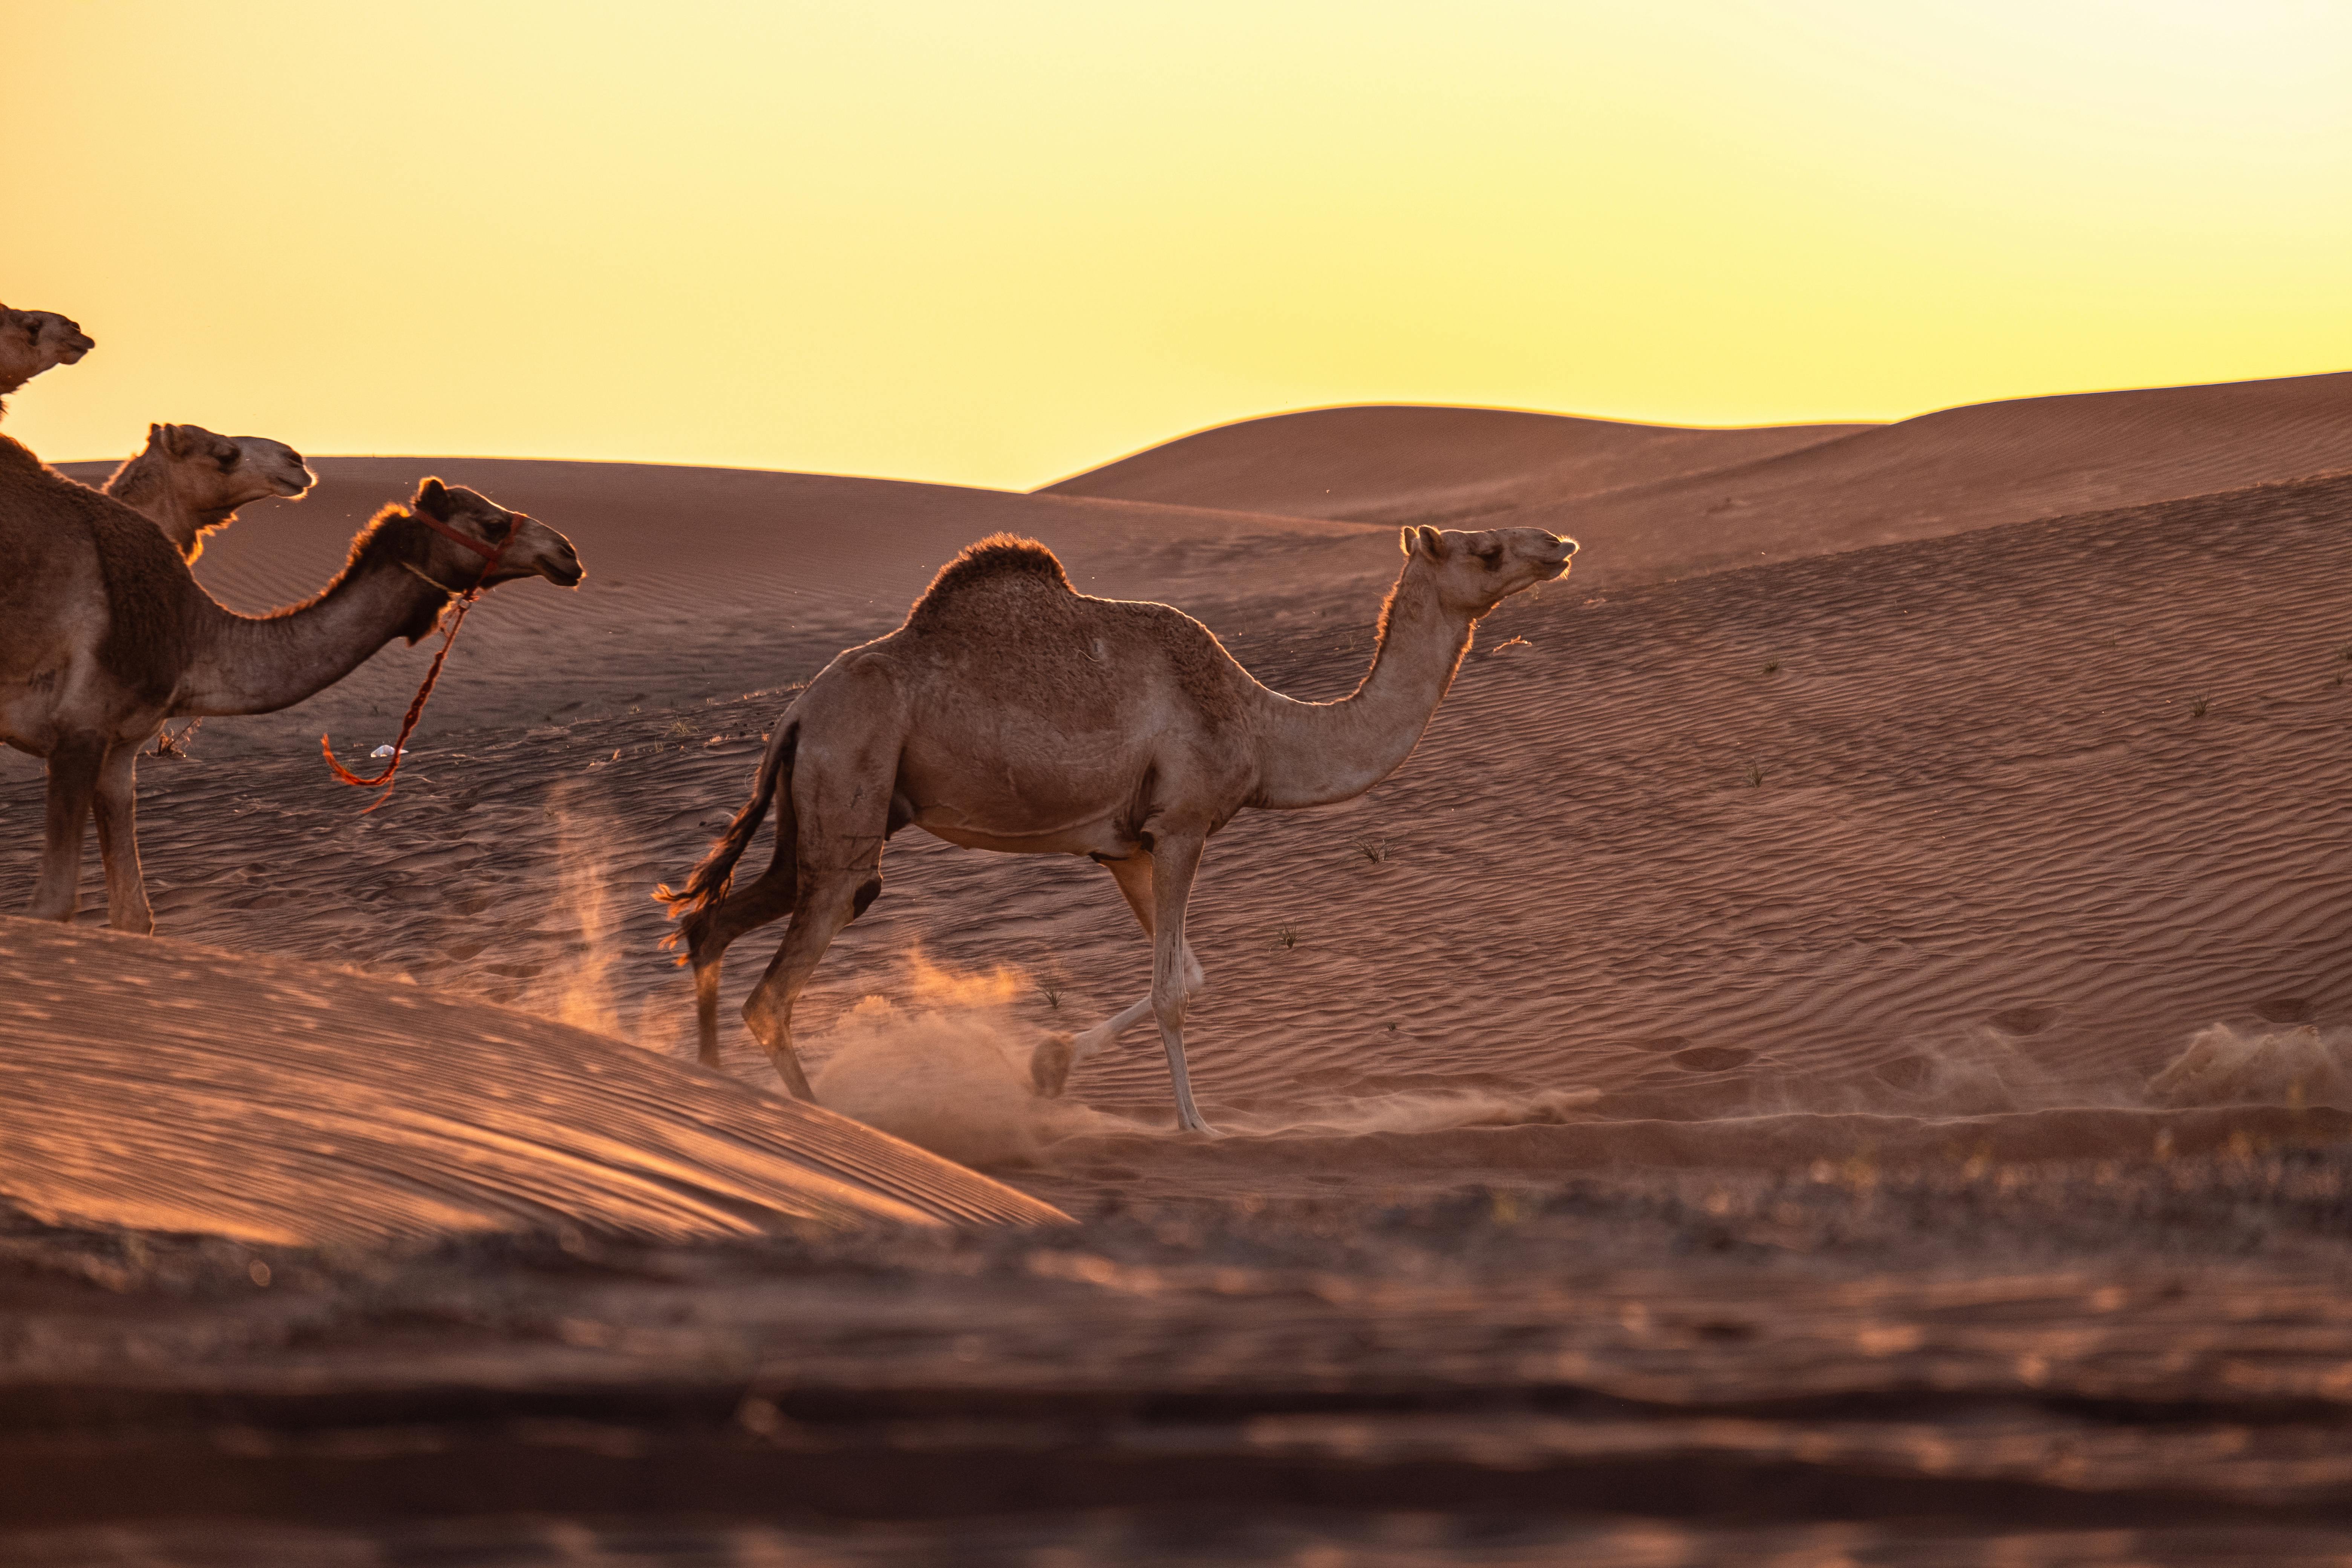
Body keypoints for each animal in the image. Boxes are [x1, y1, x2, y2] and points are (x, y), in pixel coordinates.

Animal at [1, 442, 588, 931]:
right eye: (492, 523)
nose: (568, 554)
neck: (192, 636)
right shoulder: (80, 729)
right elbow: (52, 906)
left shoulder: (120, 748)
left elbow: (133, 916)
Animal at [663, 524, 1580, 1128]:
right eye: (1487, 550)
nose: (1560, 544)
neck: (1263, 729)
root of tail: (797, 713)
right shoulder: (1183, 825)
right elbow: (1173, 989)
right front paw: (1196, 1125)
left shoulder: (1124, 846)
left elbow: (1191, 976)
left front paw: (1049, 1065)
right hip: (851, 785)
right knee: (777, 985)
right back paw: (829, 1125)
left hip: (818, 810)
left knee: (713, 924)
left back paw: (712, 1092)